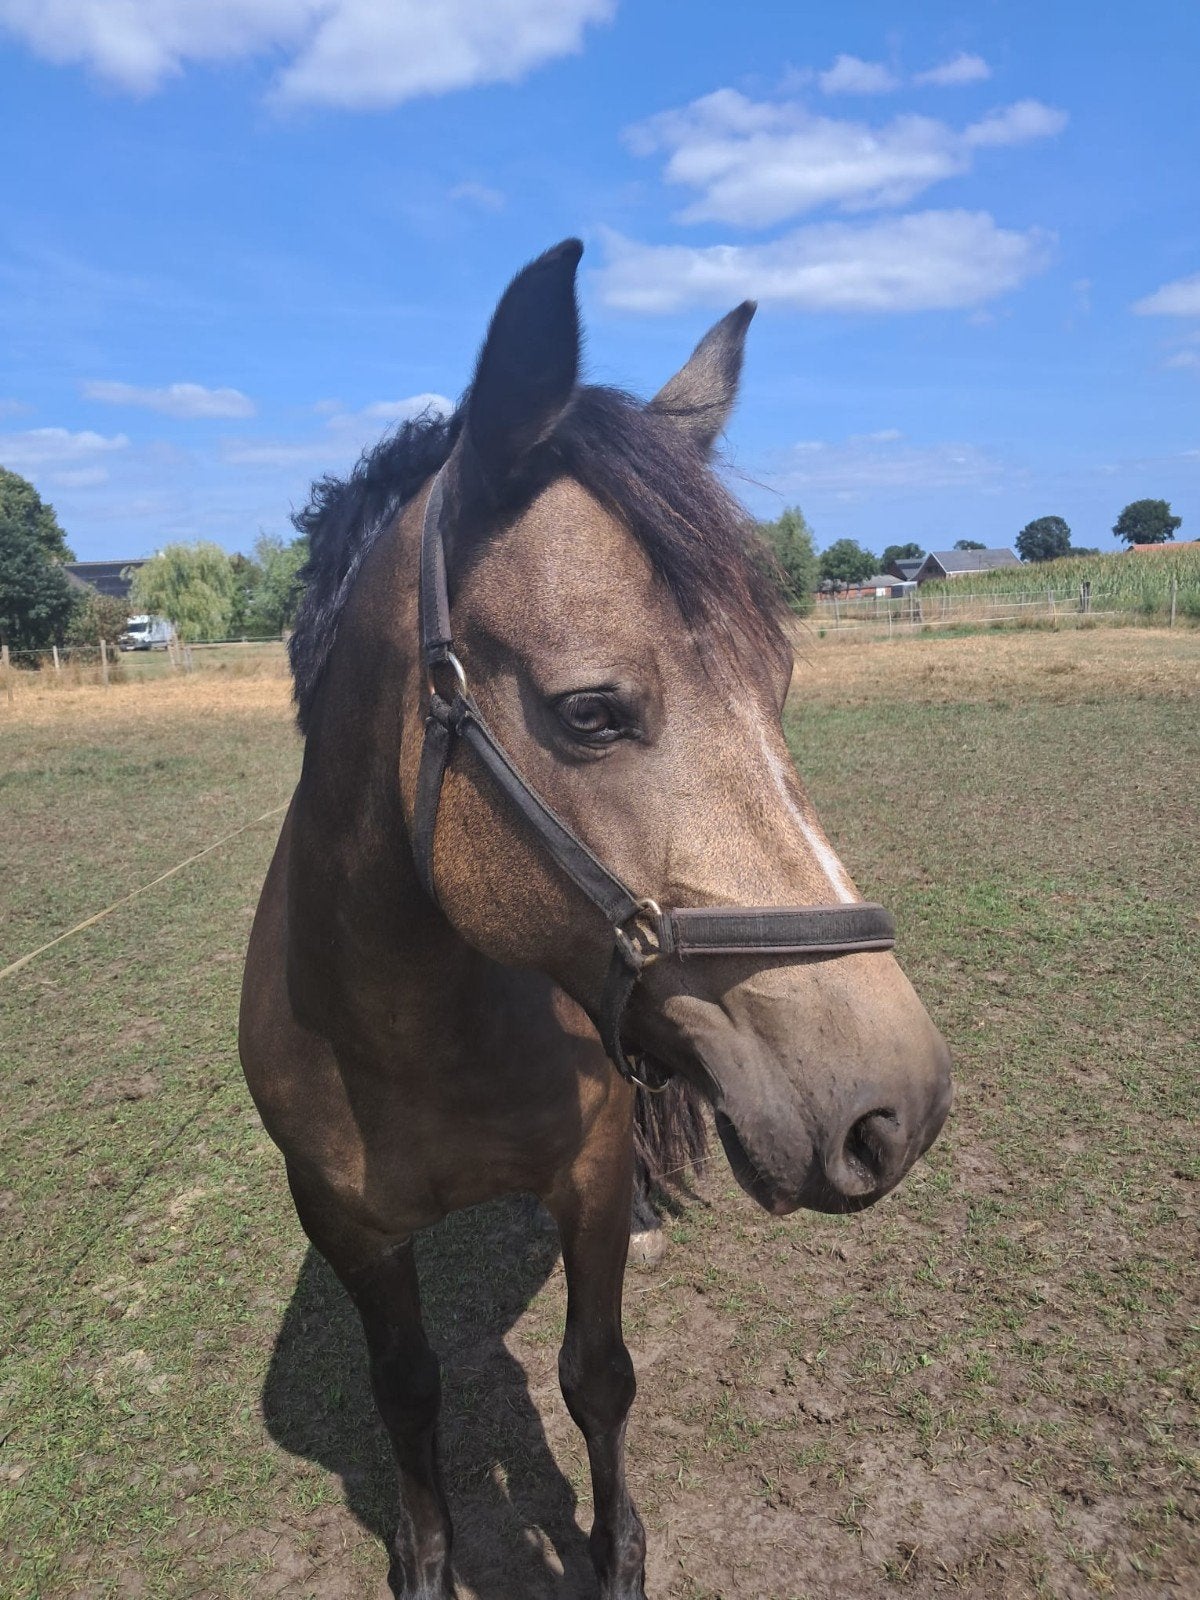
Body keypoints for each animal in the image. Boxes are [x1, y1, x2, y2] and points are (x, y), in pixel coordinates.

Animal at [239, 239, 952, 1600]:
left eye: (781, 683)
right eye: (590, 712)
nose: (897, 1108)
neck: (406, 1031)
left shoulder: (586, 1171)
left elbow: (597, 1378)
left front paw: (616, 1550)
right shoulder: (347, 1225)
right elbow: (407, 1395)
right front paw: (425, 1556)